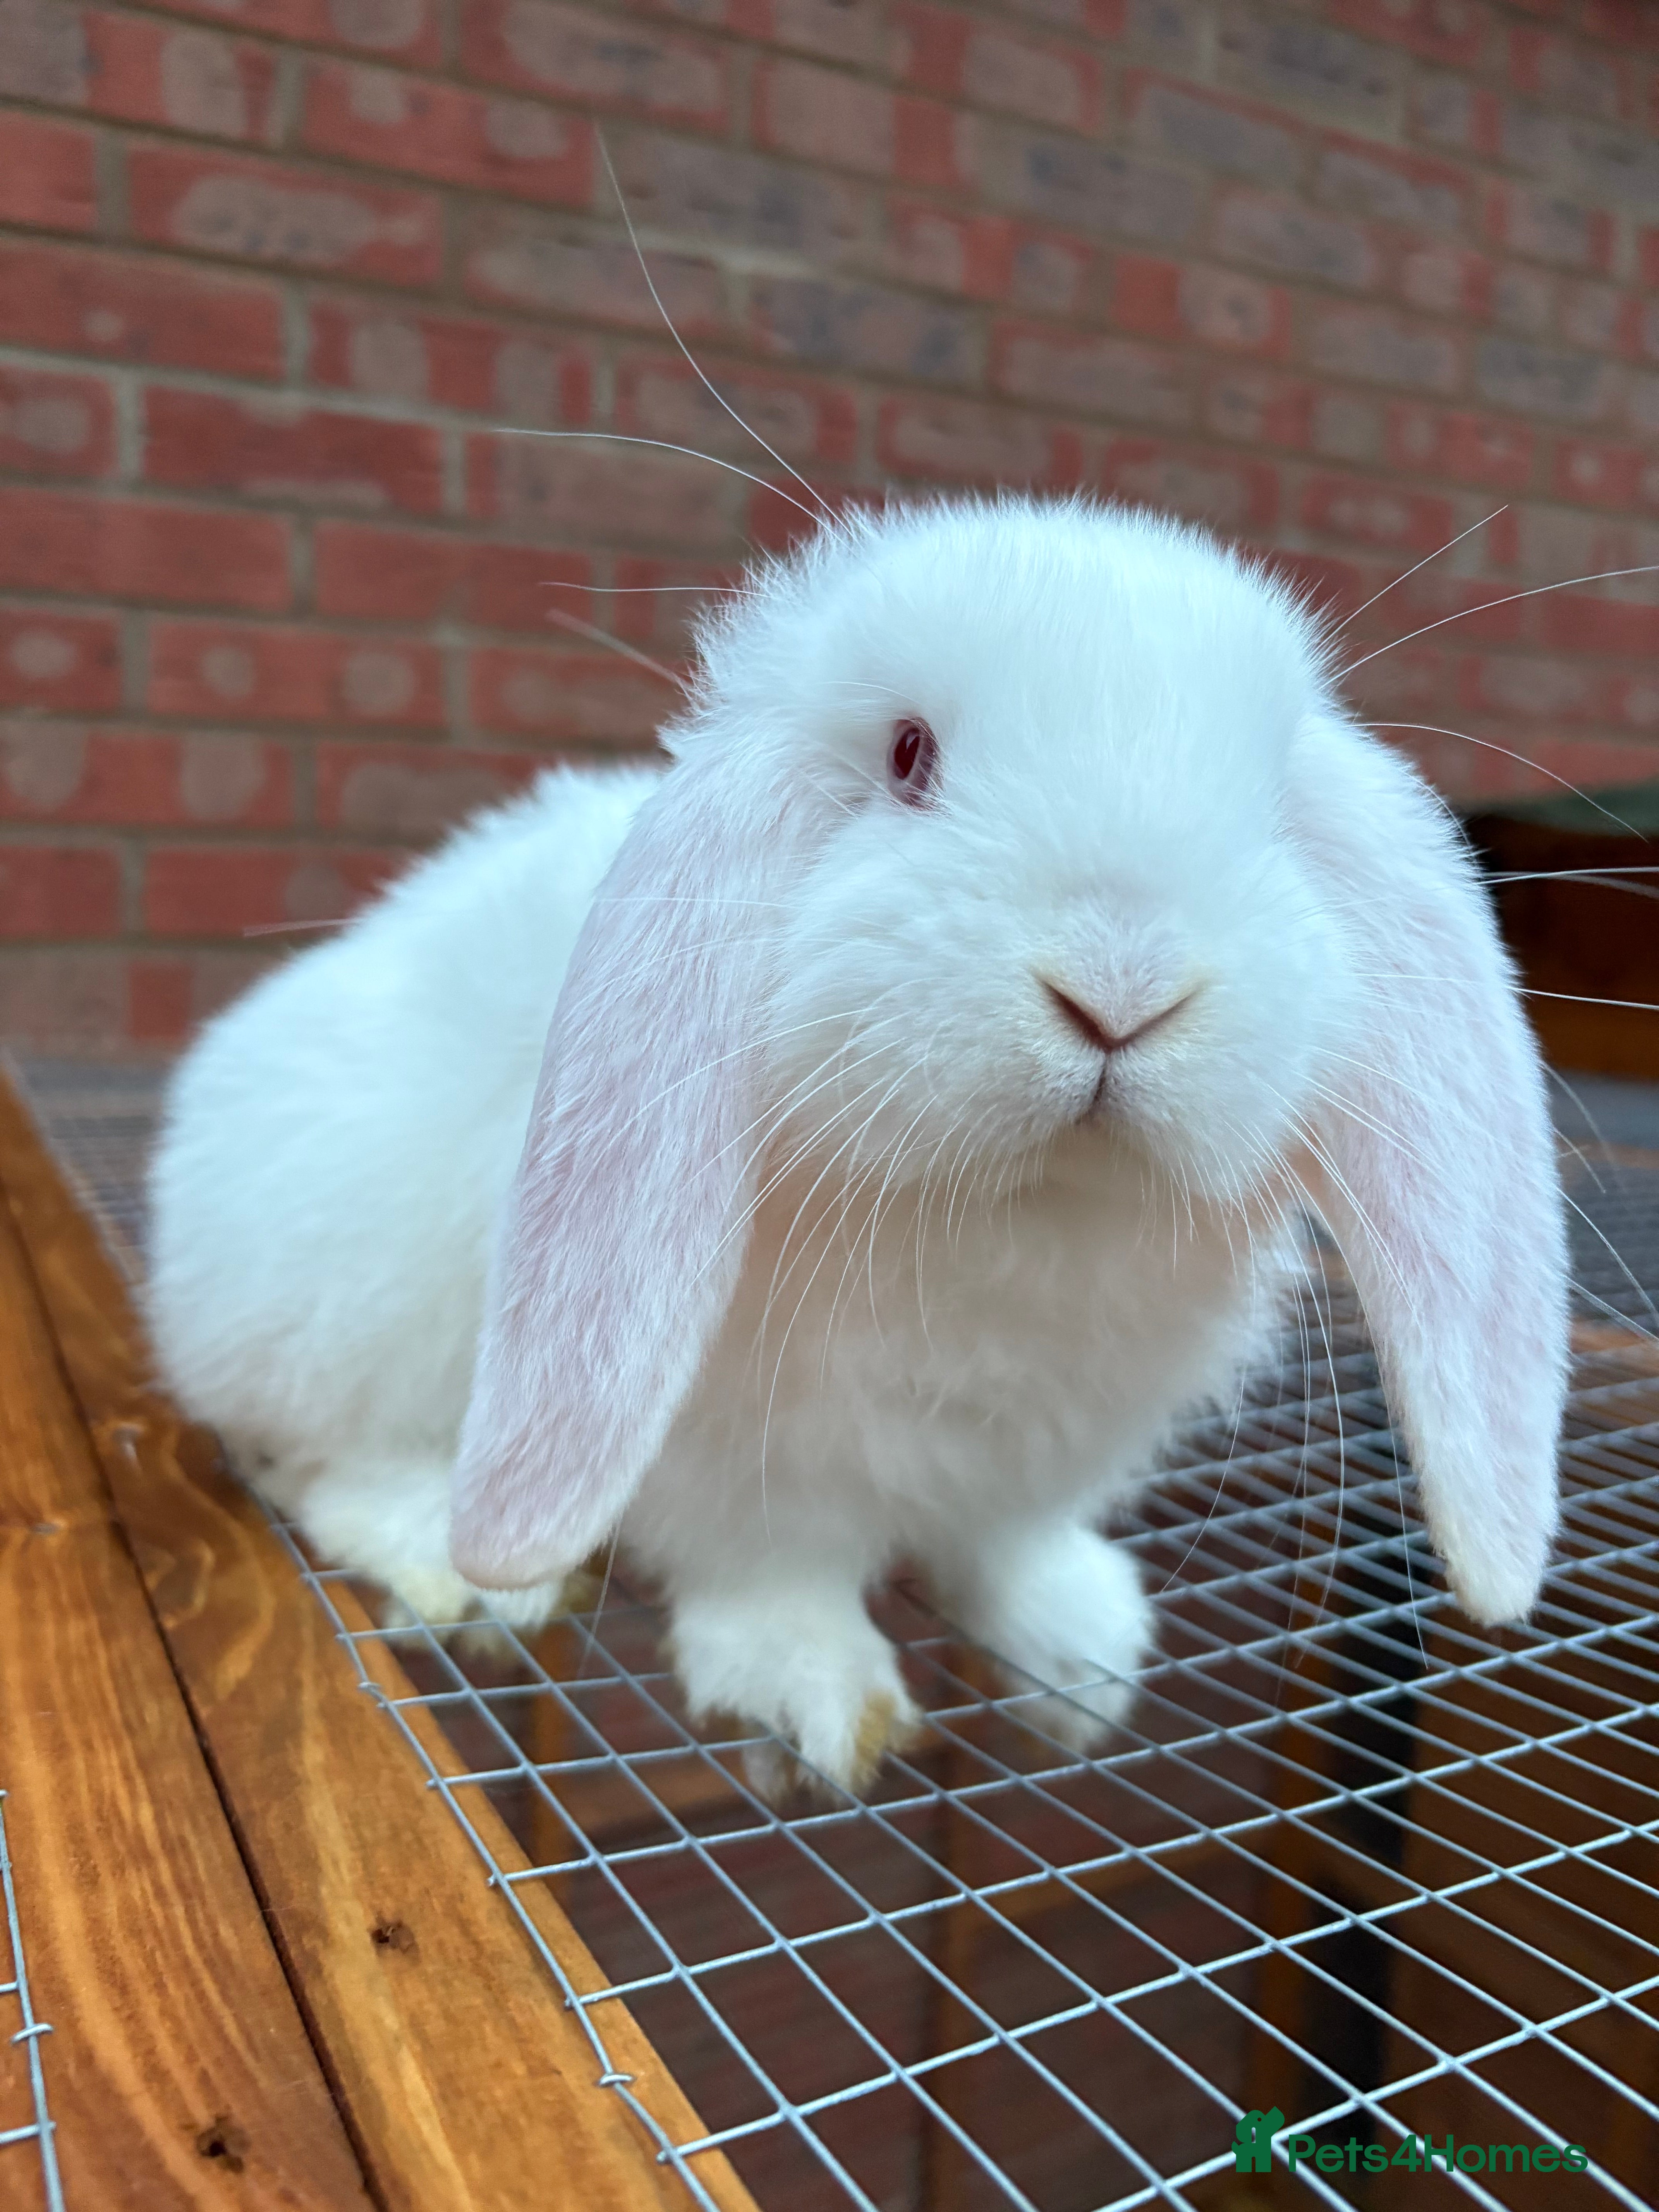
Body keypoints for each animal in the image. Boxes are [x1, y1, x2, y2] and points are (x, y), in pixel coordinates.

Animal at [146, 494, 1569, 1795]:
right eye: (907, 755)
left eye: (1273, 811)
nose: (1121, 987)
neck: (1017, 1212)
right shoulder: (735, 1451)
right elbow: (772, 1567)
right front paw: (821, 1700)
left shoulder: (1040, 1453)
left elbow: (1009, 1548)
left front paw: (1083, 1661)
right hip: (347, 1302)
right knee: (319, 1464)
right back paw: (465, 1579)